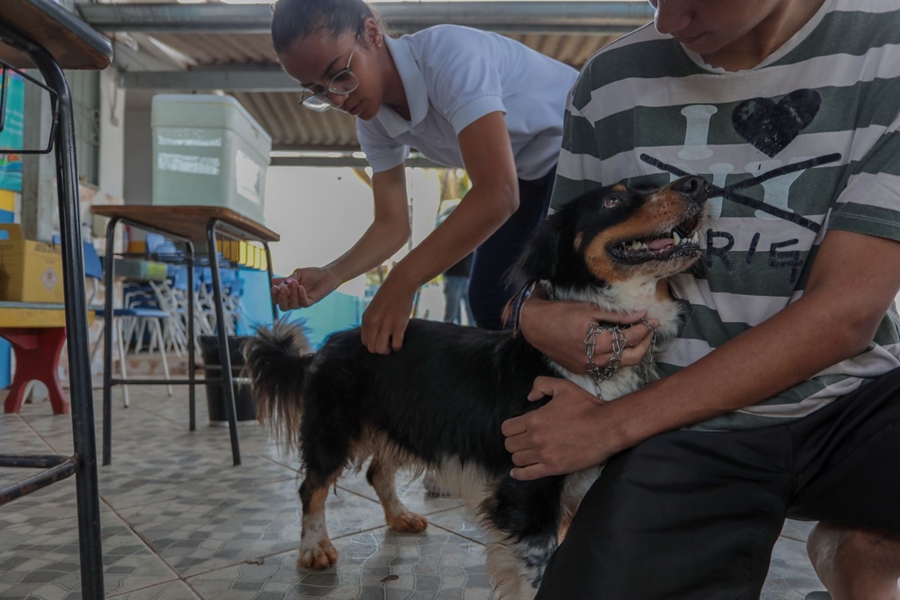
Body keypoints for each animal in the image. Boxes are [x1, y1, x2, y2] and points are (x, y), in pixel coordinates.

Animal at [246, 176, 712, 596]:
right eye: (613, 199)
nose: (696, 184)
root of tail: (327, 345)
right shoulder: (528, 490)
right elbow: (535, 576)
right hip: (334, 429)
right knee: (312, 487)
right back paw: (313, 549)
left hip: (403, 421)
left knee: (377, 472)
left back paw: (400, 517)